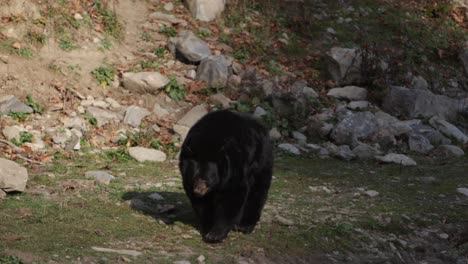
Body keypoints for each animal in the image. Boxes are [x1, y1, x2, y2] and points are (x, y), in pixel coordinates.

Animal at [179, 109, 274, 243]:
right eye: (195, 178)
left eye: (206, 179)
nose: (198, 191)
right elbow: (202, 204)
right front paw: (208, 226)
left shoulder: (234, 165)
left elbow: (232, 195)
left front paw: (216, 234)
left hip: (261, 160)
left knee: (258, 191)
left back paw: (245, 225)